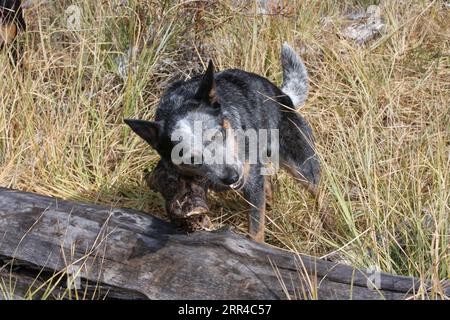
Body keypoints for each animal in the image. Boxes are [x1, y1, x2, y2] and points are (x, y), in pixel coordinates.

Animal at [125, 43, 318, 242]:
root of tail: (284, 96)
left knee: (318, 192)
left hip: (302, 165)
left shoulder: (252, 181)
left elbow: (255, 230)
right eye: (191, 158)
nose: (232, 177)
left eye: (217, 135)